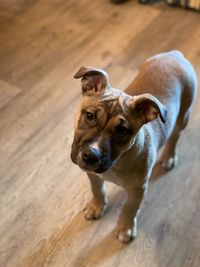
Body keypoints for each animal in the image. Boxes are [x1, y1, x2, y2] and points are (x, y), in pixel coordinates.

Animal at [70, 50, 197, 245]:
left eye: (122, 131)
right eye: (89, 116)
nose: (90, 155)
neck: (117, 161)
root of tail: (175, 55)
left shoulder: (138, 189)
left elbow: (130, 208)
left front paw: (125, 228)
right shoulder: (92, 174)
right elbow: (97, 190)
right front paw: (96, 206)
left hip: (183, 115)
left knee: (175, 136)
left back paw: (169, 156)